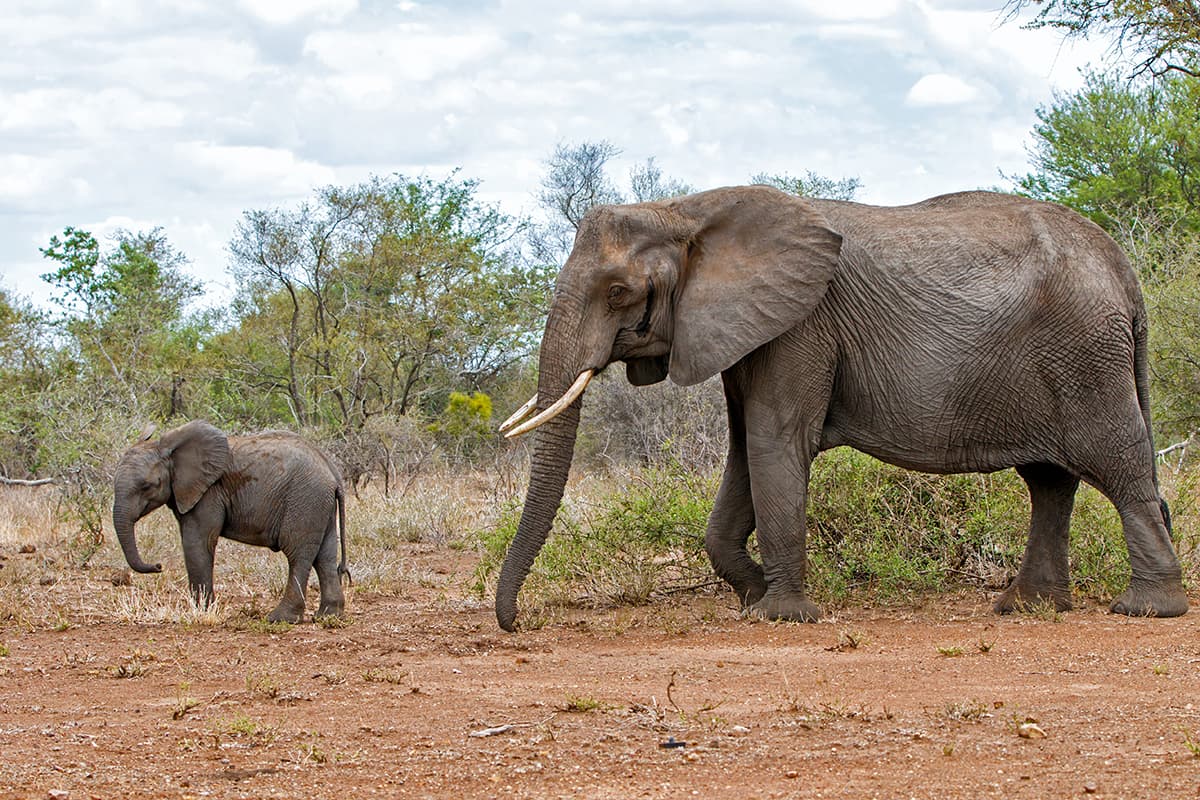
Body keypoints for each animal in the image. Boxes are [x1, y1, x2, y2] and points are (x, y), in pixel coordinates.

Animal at [112, 420, 350, 623]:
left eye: (147, 486)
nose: (158, 566)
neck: (171, 452)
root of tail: (334, 474)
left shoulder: (209, 493)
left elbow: (197, 541)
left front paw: (203, 611)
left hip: (305, 500)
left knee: (297, 555)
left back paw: (280, 619)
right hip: (319, 505)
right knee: (325, 557)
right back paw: (328, 616)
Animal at [494, 185, 1189, 631]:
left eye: (618, 293)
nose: (516, 625)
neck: (685, 210)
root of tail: (1124, 270)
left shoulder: (801, 325)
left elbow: (775, 444)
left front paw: (781, 616)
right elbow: (745, 452)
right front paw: (753, 597)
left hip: (1086, 357)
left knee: (1119, 468)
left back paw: (1146, 609)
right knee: (1049, 480)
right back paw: (1025, 608)